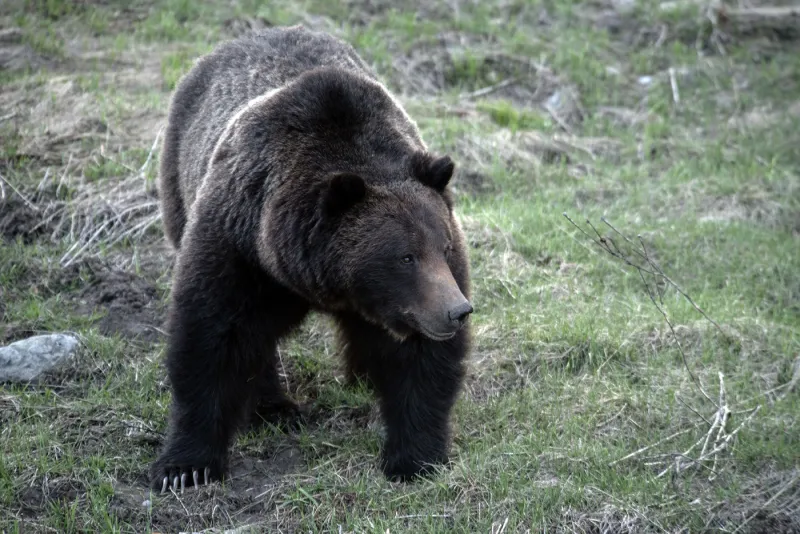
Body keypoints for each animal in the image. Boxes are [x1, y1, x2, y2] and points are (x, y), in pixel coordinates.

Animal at [151, 25, 473, 493]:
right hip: (179, 184)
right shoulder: (238, 245)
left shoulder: (418, 297)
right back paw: (274, 408)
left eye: (444, 247)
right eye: (405, 256)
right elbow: (212, 337)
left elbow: (421, 364)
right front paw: (185, 466)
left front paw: (415, 457)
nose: (457, 311)